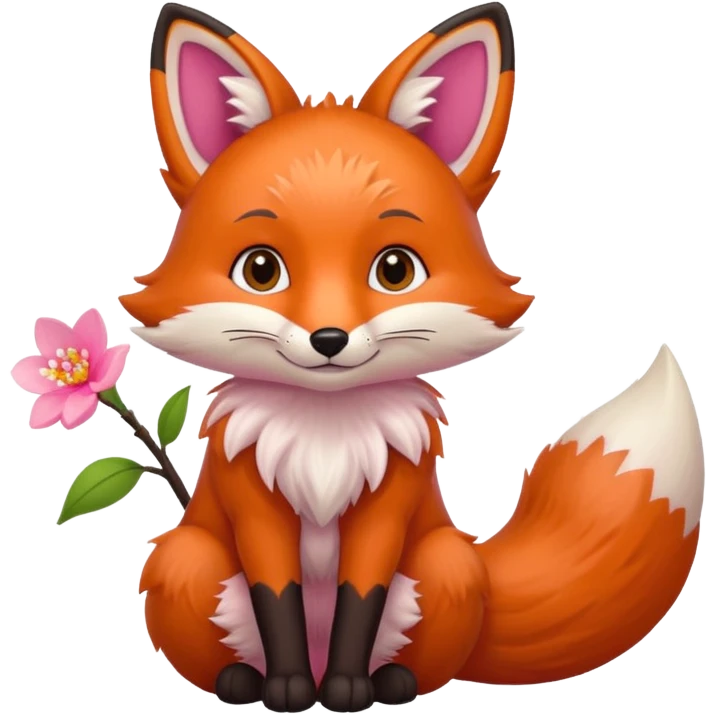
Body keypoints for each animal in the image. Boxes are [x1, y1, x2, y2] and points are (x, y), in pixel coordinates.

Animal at [122, 2, 706, 712]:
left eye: (394, 270)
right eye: (261, 270)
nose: (329, 339)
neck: (327, 435)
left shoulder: (389, 509)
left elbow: (361, 596)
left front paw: (347, 689)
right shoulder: (255, 507)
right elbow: (277, 595)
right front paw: (289, 688)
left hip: (444, 566)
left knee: (420, 656)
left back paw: (390, 682)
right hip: (188, 560)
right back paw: (243, 680)